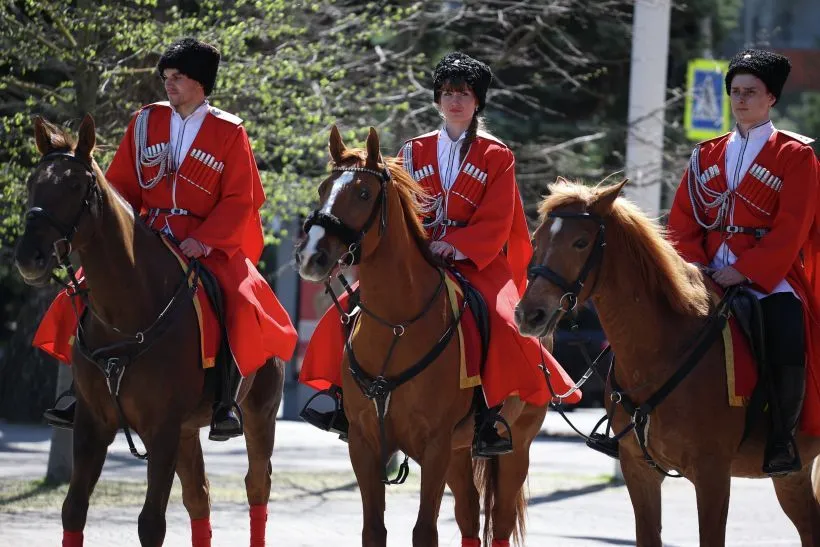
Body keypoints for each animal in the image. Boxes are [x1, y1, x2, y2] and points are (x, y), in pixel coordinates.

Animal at [12, 114, 288, 544]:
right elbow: (73, 509)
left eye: (75, 186)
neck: (125, 316)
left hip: (260, 415)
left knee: (257, 487)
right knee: (199, 498)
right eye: (32, 182)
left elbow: (151, 523)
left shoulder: (162, 429)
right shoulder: (93, 423)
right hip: (189, 431)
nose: (29, 258)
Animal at [294, 124, 544, 547]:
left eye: (364, 193)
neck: (396, 325)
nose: (311, 256)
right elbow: (374, 529)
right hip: (461, 452)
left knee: (501, 521)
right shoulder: (364, 443)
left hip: (517, 447)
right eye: (323, 187)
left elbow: (425, 530)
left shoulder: (436, 446)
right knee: (468, 515)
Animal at [516, 181, 820, 547]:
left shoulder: (712, 474)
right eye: (536, 240)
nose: (529, 314)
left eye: (581, 242)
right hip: (792, 476)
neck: (660, 351)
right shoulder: (640, 471)